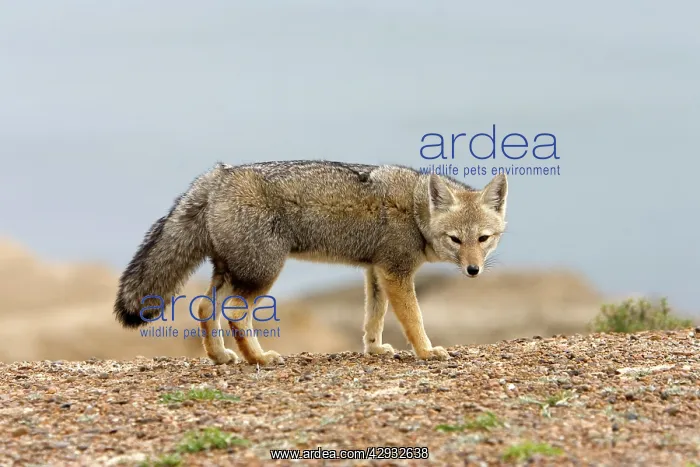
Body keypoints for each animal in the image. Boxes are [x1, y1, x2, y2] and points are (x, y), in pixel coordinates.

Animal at [114, 160, 508, 365]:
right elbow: (414, 319)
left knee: (203, 307)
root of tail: (219, 175)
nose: (473, 270)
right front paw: (426, 351)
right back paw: (259, 359)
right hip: (262, 273)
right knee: (235, 313)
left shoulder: (376, 271)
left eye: (483, 239)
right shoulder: (396, 273)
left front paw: (374, 348)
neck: (414, 209)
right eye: (455, 239)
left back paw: (221, 355)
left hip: (232, 272)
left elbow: (374, 317)